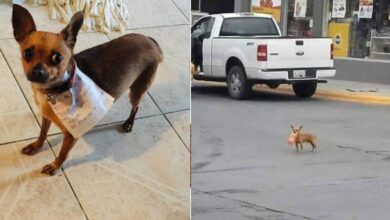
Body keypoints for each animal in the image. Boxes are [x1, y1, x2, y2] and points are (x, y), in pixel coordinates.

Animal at [11, 3, 162, 175]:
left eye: (57, 58)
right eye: (27, 53)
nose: (37, 72)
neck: (56, 90)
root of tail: (150, 40)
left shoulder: (71, 136)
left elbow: (63, 153)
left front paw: (55, 166)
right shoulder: (46, 117)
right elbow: (42, 133)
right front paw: (36, 146)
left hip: (138, 89)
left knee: (136, 106)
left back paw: (129, 123)